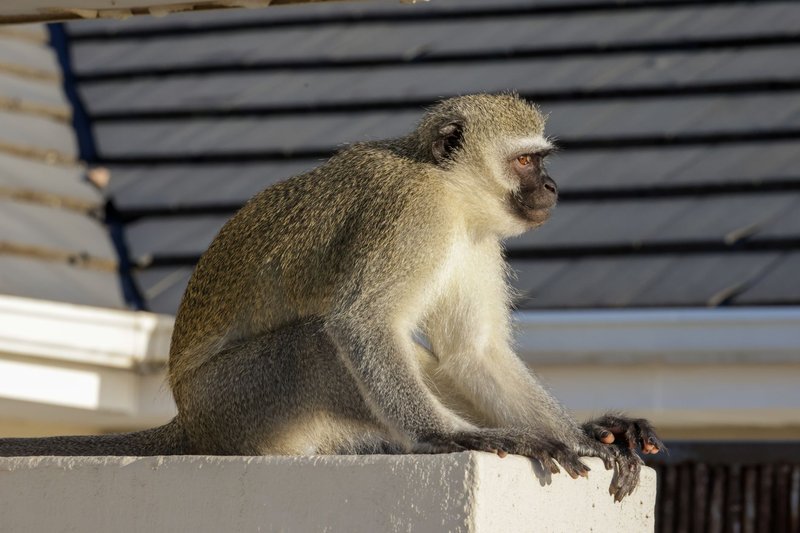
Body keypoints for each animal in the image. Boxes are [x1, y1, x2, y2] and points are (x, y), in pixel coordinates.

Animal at [0, 93, 662, 501]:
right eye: (526, 160)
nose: (551, 187)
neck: (449, 191)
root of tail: (188, 417)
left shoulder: (476, 239)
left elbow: (473, 355)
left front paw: (583, 438)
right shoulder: (411, 216)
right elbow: (360, 323)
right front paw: (451, 438)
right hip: (237, 400)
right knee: (317, 342)